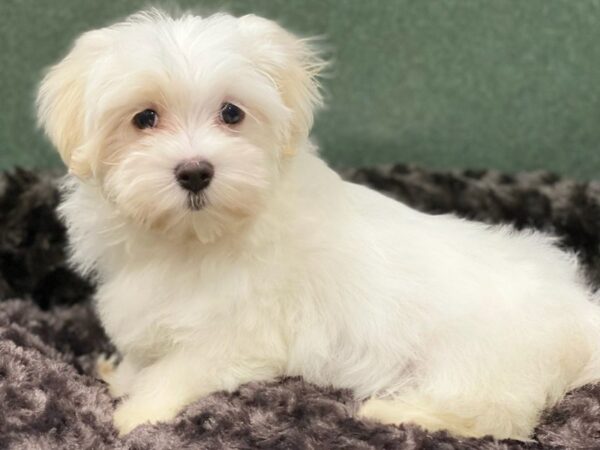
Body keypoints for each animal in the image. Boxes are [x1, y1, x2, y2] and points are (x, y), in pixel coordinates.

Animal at [36, 9, 600, 440]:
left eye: (232, 113)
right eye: (144, 119)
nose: (195, 171)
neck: (194, 238)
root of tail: (579, 313)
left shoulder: (238, 335)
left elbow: (177, 371)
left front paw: (135, 414)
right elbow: (142, 354)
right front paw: (119, 376)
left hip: (479, 358)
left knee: (497, 415)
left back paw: (393, 410)